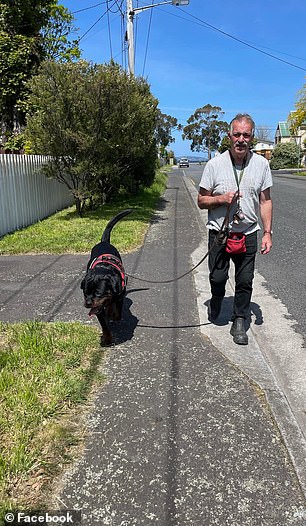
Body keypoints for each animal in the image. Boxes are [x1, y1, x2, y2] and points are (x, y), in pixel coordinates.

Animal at [81, 210, 133, 346]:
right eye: (85, 293)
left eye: (98, 293)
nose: (88, 303)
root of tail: (104, 242)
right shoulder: (97, 309)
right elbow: (104, 325)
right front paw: (107, 339)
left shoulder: (120, 295)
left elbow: (117, 312)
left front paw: (113, 315)